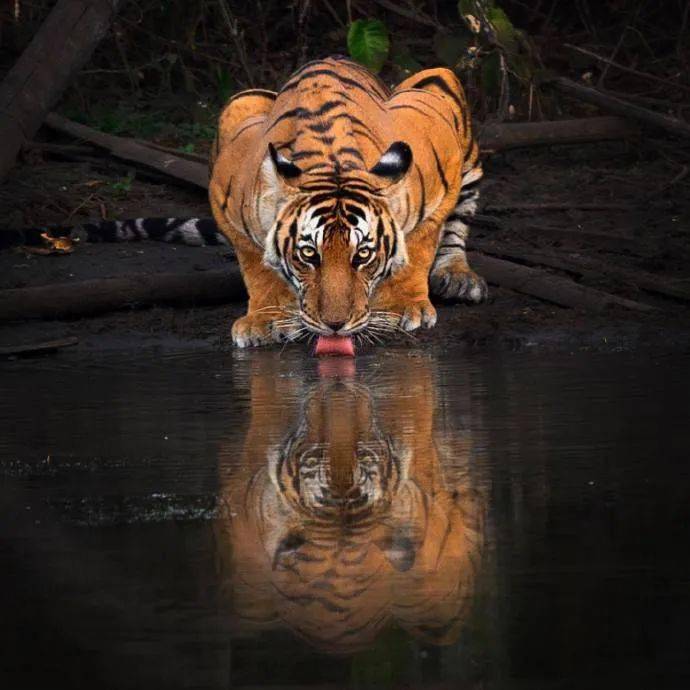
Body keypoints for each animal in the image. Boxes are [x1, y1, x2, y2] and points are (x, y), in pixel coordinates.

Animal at [208, 52, 484, 350]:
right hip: (241, 101)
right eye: (308, 254)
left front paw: (403, 306)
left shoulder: (441, 164)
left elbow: (418, 245)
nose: (335, 325)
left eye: (363, 254)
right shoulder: (224, 194)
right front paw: (265, 320)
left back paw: (458, 277)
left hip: (439, 82)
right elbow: (257, 266)